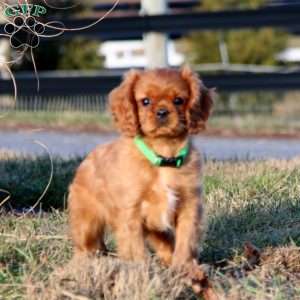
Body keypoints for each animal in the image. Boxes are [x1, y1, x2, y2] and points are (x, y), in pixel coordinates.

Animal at [68, 67, 213, 288]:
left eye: (178, 100)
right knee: (84, 247)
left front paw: (186, 268)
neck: (163, 156)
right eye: (145, 101)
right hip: (86, 224)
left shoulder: (189, 205)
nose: (162, 112)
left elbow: (185, 240)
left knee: (165, 244)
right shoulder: (131, 213)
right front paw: (142, 275)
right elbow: (135, 248)